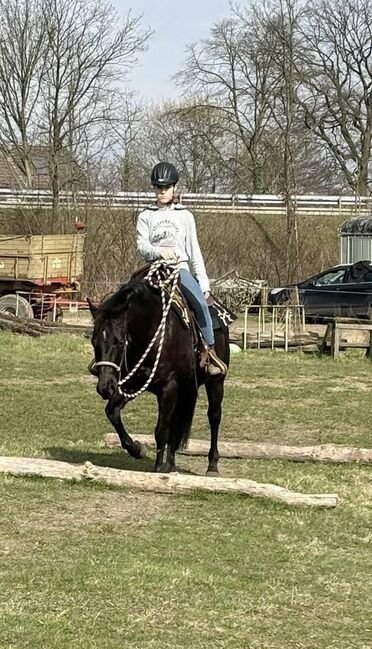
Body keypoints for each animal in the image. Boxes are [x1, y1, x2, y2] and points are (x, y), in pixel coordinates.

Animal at [89, 270, 230, 474]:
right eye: (94, 341)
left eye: (120, 341)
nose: (105, 387)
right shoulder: (133, 384)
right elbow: (112, 412)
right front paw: (137, 449)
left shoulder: (168, 387)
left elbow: (161, 430)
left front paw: (157, 469)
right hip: (184, 389)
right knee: (176, 423)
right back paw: (170, 464)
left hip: (215, 382)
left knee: (214, 416)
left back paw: (212, 465)